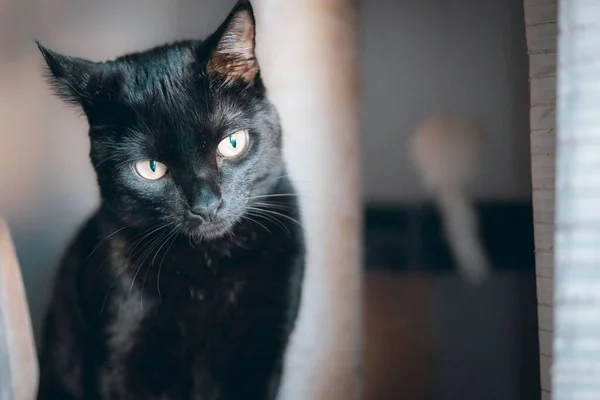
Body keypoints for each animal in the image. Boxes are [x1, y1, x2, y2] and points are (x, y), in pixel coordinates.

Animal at [36, 1, 304, 398]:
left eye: (232, 143)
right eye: (150, 168)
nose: (206, 205)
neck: (210, 267)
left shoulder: (260, 356)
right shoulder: (120, 359)